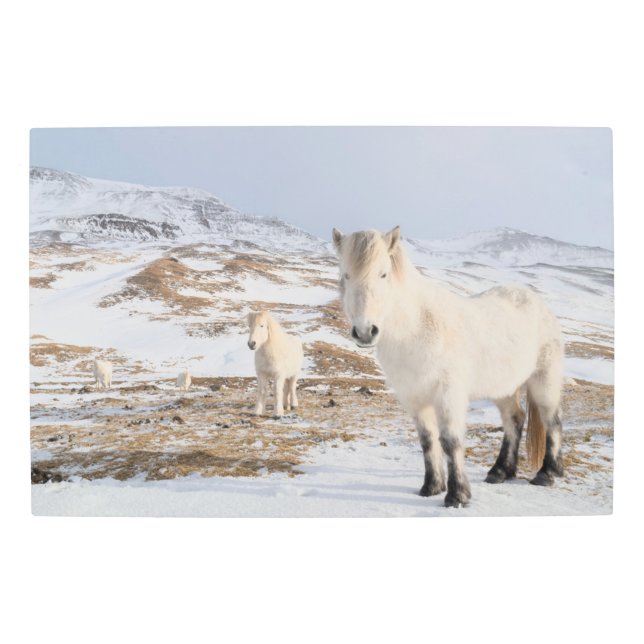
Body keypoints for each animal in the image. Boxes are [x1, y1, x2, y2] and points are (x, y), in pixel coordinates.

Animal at [332, 226, 564, 508]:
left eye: (383, 273)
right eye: (346, 274)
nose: (365, 332)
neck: (416, 329)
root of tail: (537, 302)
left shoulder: (448, 395)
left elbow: (450, 441)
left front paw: (457, 496)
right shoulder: (415, 398)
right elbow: (427, 440)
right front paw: (431, 487)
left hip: (544, 380)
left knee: (552, 421)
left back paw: (547, 473)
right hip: (504, 388)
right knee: (514, 420)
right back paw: (500, 471)